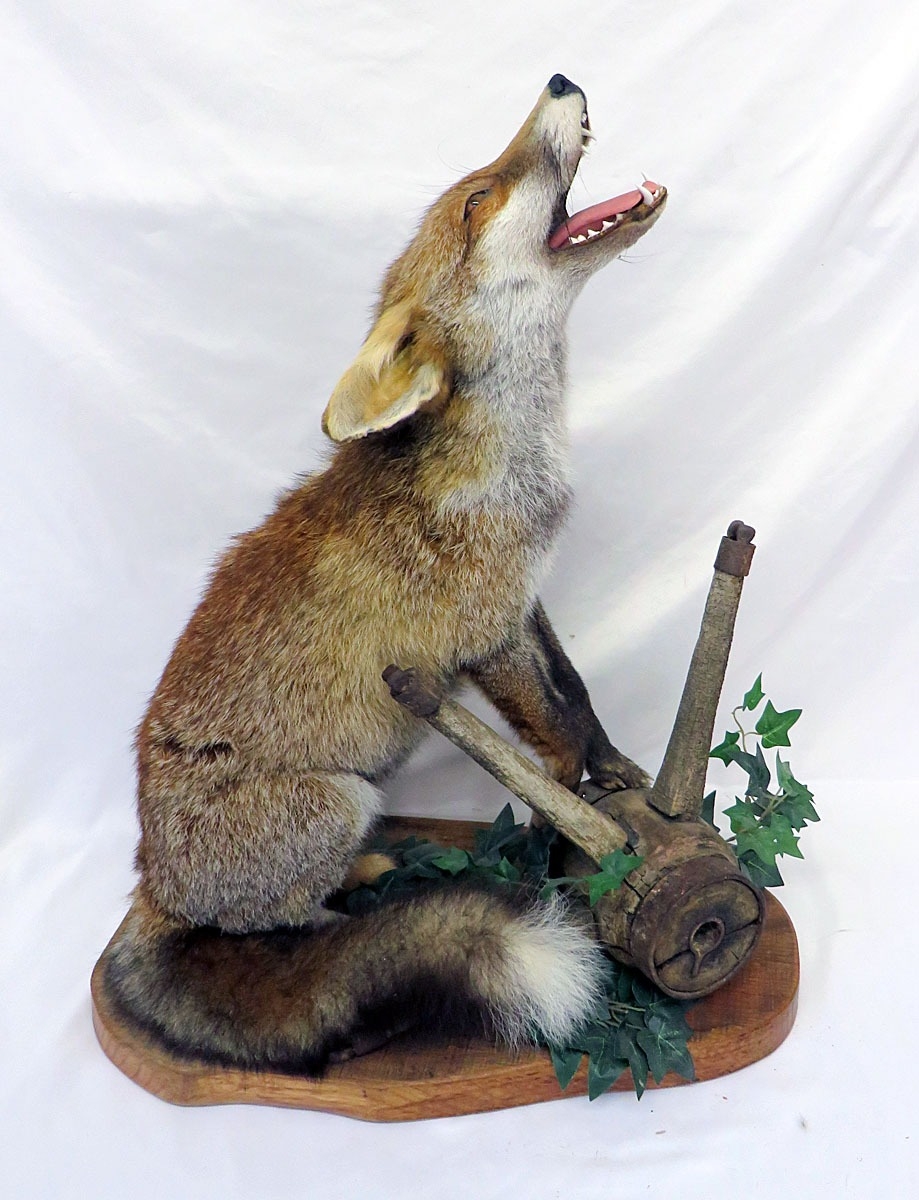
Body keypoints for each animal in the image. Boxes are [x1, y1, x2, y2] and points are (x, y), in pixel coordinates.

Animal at [100, 74, 667, 1075]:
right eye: (477, 201)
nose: (560, 80)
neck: (516, 463)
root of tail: (151, 881)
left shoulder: (525, 600)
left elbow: (579, 694)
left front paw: (614, 773)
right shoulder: (483, 632)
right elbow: (550, 732)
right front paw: (584, 822)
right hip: (338, 797)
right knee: (274, 926)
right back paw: (359, 901)